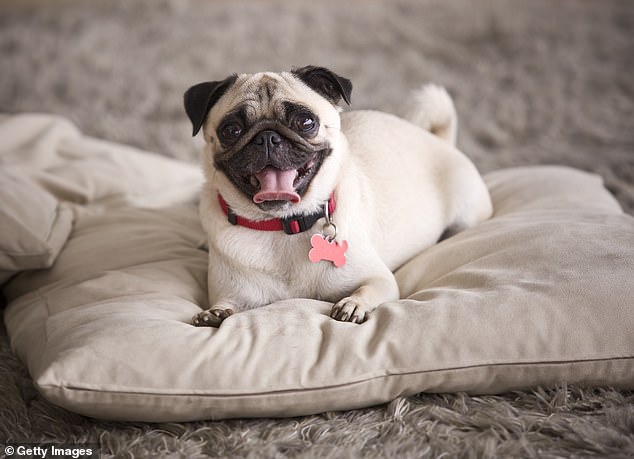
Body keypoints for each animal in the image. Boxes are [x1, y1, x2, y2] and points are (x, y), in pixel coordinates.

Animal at [181, 66, 488, 328]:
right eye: (231, 130)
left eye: (306, 122)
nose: (267, 137)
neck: (283, 225)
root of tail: (438, 140)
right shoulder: (234, 293)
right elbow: (225, 304)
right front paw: (214, 314)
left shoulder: (380, 279)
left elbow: (369, 289)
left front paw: (353, 305)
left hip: (467, 214)